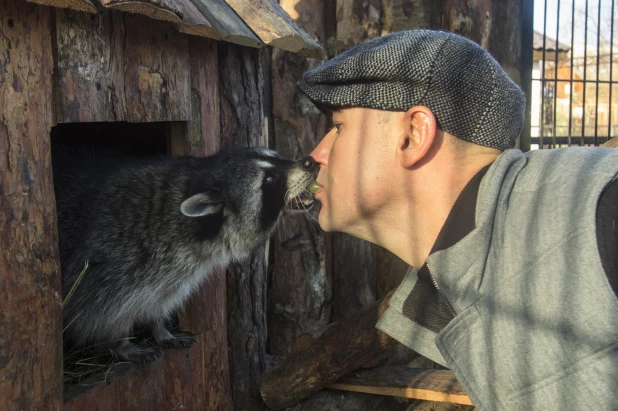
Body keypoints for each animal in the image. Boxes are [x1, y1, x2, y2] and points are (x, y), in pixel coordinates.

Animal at [51, 147, 318, 364]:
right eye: (270, 179)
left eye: (277, 157)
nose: (310, 162)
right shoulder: (112, 261)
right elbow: (99, 311)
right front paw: (121, 343)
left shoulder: (178, 269)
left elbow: (161, 297)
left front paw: (158, 327)